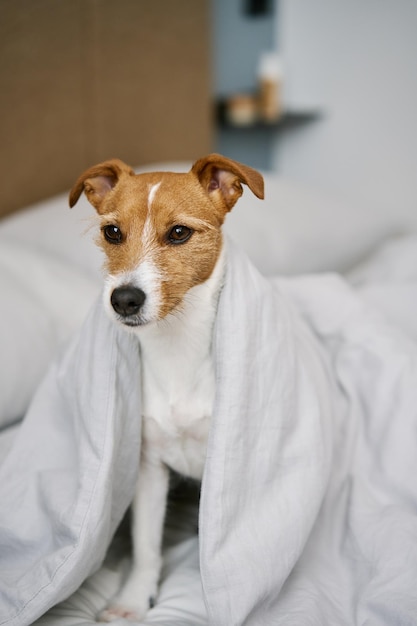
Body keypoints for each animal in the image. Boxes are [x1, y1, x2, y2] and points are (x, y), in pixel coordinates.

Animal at [69, 155, 264, 620]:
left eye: (178, 233)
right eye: (112, 232)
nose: (124, 299)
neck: (177, 350)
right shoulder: (148, 469)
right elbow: (145, 546)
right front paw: (133, 600)